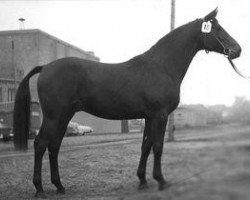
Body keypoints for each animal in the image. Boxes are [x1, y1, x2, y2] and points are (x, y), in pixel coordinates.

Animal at [13, 8, 240, 198]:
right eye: (217, 28)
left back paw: (60, 186)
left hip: (64, 117)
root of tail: (45, 67)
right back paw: (40, 189)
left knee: (54, 147)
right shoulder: (160, 115)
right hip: (53, 117)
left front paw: (142, 181)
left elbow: (146, 146)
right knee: (40, 145)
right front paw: (161, 181)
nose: (237, 50)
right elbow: (158, 147)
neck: (161, 67)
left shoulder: (149, 117)